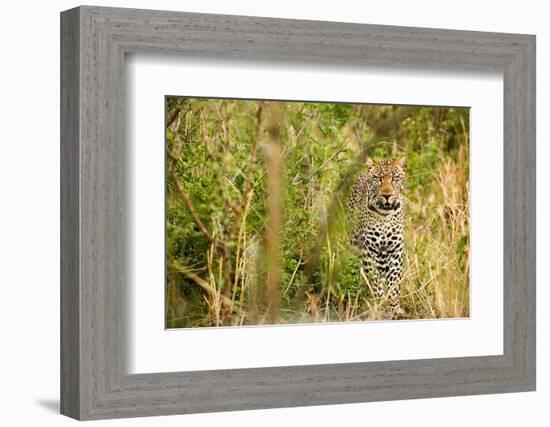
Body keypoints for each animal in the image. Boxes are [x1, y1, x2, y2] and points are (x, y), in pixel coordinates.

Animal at [350, 156, 410, 318]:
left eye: (395, 178)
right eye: (378, 178)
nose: (387, 195)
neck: (384, 216)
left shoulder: (395, 251)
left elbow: (394, 283)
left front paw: (394, 307)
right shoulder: (368, 251)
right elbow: (375, 283)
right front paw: (380, 305)